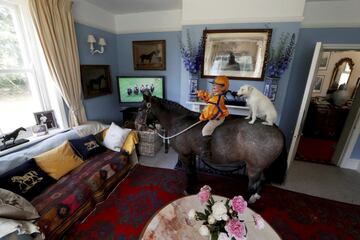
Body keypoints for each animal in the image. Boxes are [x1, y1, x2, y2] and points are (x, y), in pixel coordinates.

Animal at [135, 93, 286, 202]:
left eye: (141, 108)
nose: (137, 125)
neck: (180, 121)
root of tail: (274, 127)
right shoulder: (192, 154)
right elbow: (192, 170)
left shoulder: (184, 154)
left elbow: (188, 171)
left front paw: (188, 189)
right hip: (261, 167)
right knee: (262, 181)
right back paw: (255, 196)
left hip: (254, 167)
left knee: (253, 185)